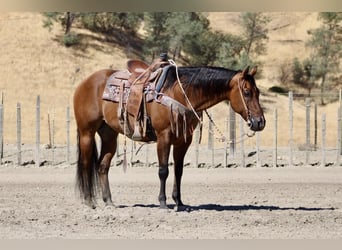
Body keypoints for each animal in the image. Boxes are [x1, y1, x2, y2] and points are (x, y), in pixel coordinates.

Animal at [72, 62, 266, 209]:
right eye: (247, 92)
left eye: (258, 92)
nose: (259, 122)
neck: (180, 93)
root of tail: (85, 83)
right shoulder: (163, 137)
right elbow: (163, 170)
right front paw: (163, 202)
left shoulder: (183, 141)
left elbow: (178, 171)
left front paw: (179, 202)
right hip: (86, 133)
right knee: (86, 164)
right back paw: (89, 201)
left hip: (109, 135)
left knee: (102, 166)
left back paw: (109, 202)